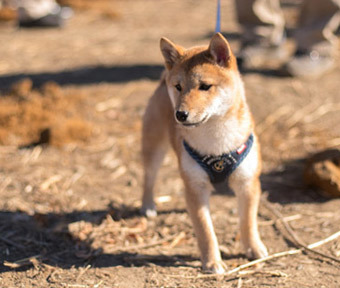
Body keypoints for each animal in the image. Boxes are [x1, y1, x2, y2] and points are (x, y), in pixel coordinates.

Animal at [141, 32, 268, 274]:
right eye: (179, 87)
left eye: (205, 86)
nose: (180, 114)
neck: (217, 144)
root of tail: (162, 79)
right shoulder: (195, 187)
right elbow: (205, 231)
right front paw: (212, 262)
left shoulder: (247, 182)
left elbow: (248, 221)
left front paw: (253, 248)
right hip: (153, 150)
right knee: (148, 180)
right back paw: (148, 206)